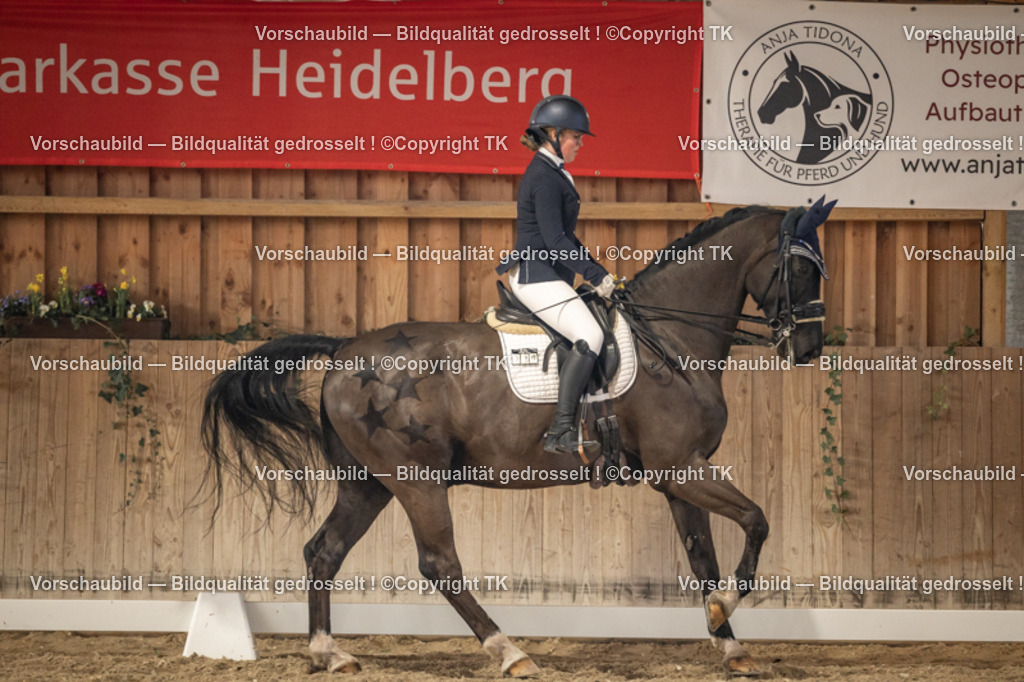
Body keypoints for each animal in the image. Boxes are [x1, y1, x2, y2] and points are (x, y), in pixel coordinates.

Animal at [201, 201, 833, 677]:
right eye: (803, 270)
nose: (808, 349)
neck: (669, 340)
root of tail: (342, 353)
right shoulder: (680, 466)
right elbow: (756, 521)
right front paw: (725, 609)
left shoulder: (681, 474)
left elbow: (703, 557)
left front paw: (727, 639)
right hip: (415, 479)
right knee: (439, 564)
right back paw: (510, 652)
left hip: (367, 483)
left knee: (324, 551)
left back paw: (329, 653)